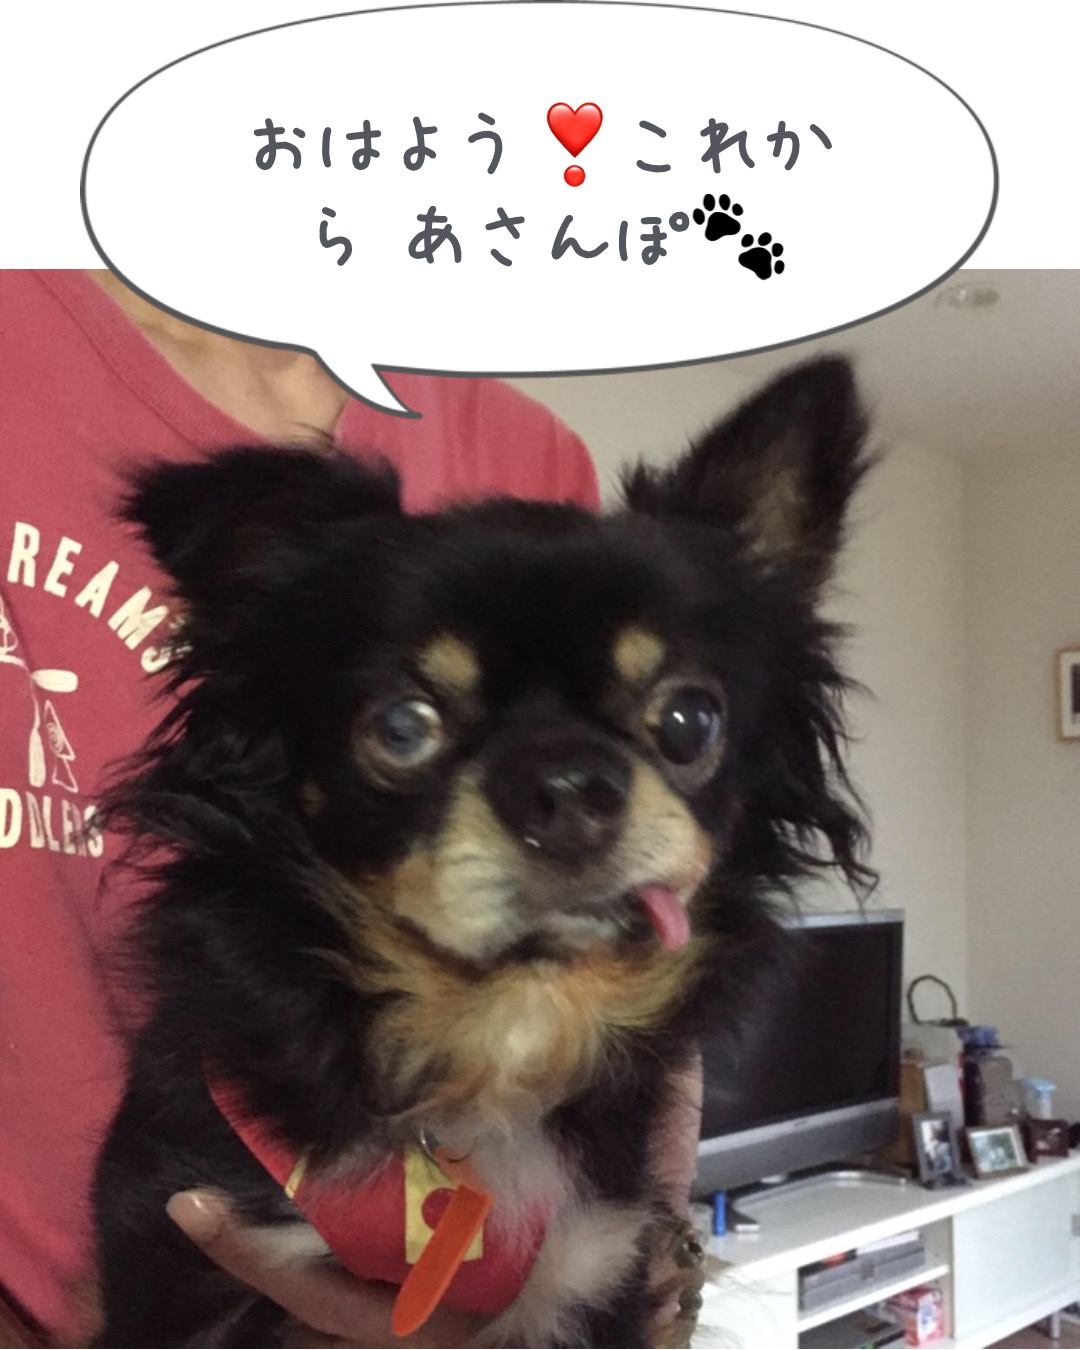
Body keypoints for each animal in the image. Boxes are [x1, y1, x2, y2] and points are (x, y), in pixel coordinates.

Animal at [91, 357, 873, 1347]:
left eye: (690, 721)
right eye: (401, 728)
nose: (570, 785)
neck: (502, 1028)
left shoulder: (596, 1267)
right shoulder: (190, 1253)